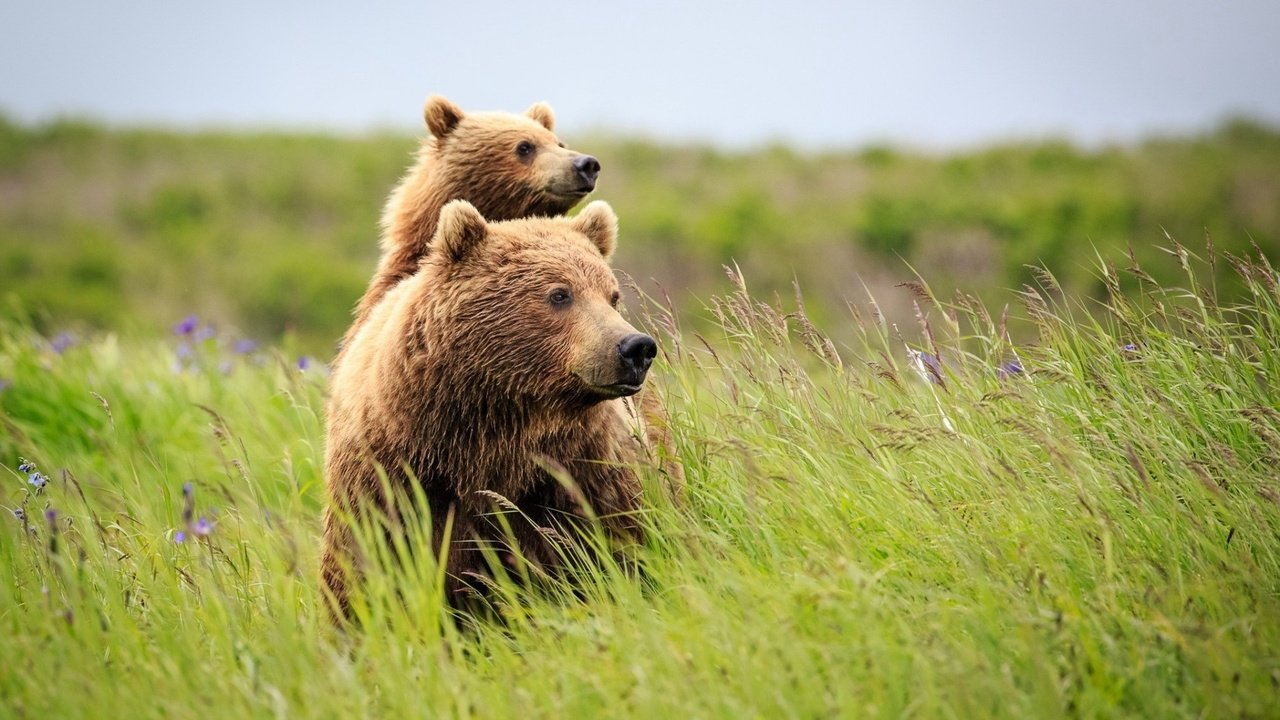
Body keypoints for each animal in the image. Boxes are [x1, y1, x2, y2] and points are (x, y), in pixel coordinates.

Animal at [320, 198, 680, 614]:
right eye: (560, 294)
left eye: (612, 295)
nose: (635, 348)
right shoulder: (393, 476)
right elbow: (366, 564)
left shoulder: (581, 467)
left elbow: (620, 539)